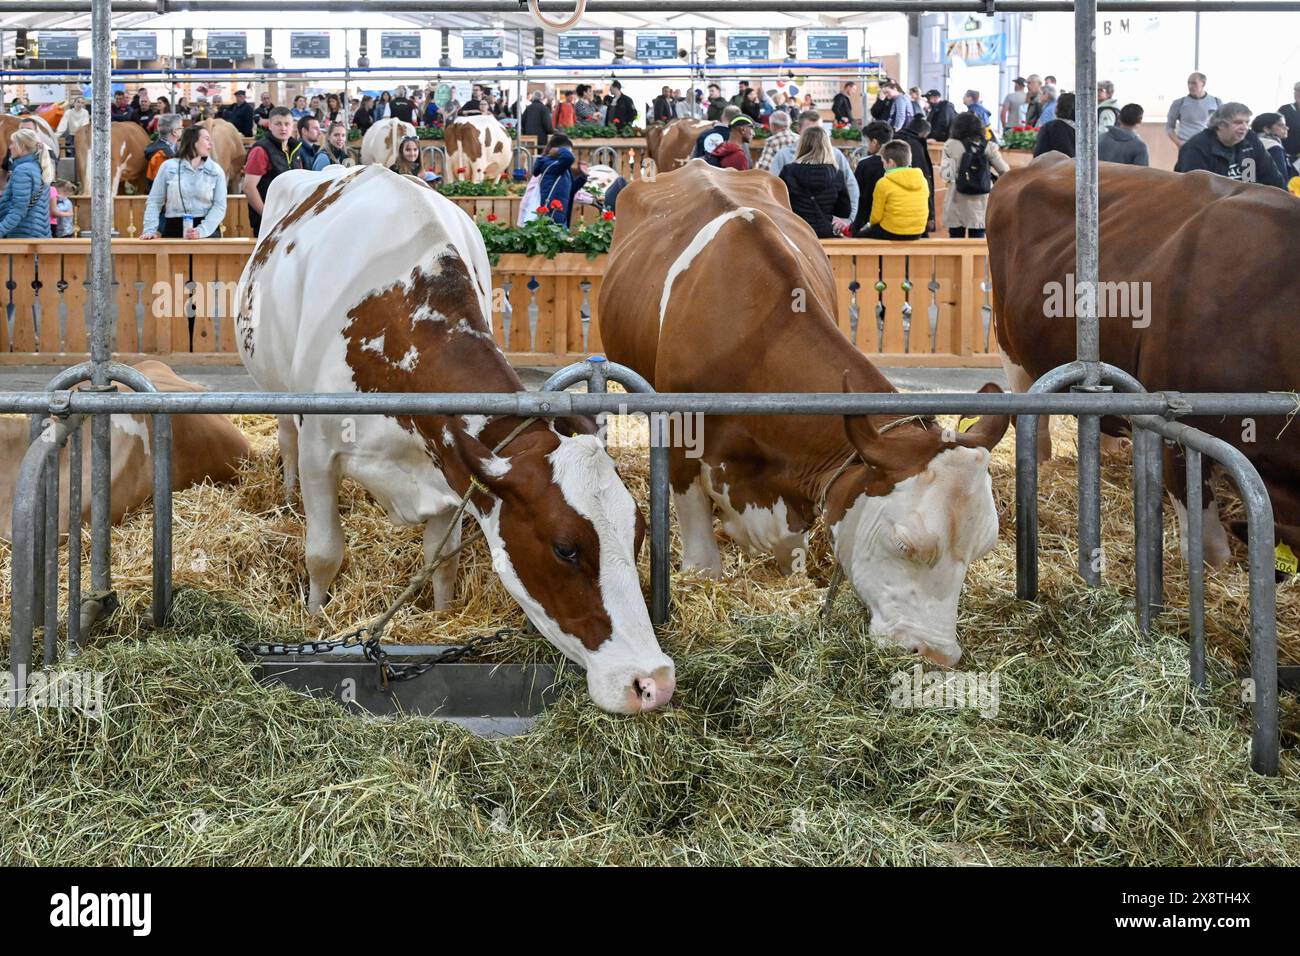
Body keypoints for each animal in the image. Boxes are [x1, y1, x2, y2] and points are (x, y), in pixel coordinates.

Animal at [236, 164, 681, 712]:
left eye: (638, 532)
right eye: (565, 549)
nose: (653, 682)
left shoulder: (449, 467)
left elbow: (440, 559)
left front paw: (442, 615)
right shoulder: (323, 450)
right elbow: (324, 553)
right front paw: (316, 620)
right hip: (276, 390)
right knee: (286, 440)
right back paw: (287, 493)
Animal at [595, 164, 1003, 671]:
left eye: (982, 549)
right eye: (904, 544)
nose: (935, 654)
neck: (755, 336)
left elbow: (790, 546)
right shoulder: (680, 433)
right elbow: (701, 549)